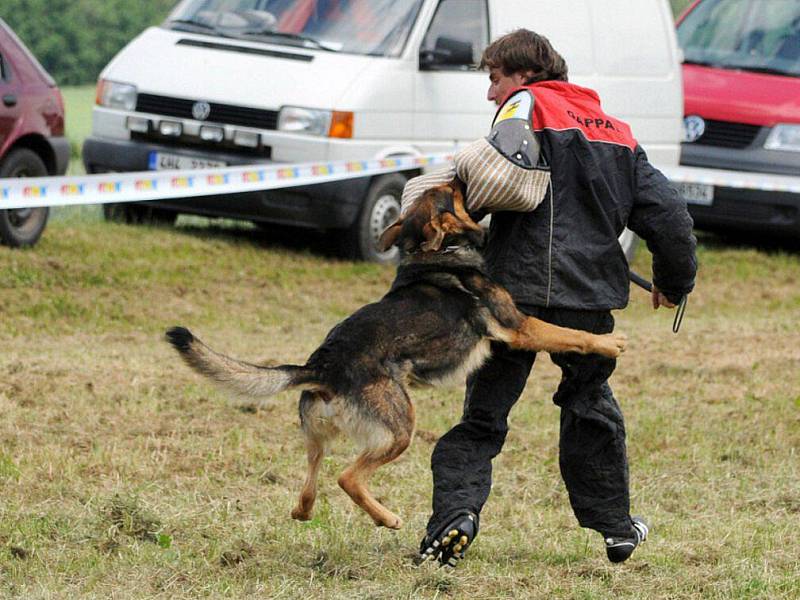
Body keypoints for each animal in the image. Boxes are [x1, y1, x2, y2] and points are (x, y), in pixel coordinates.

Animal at [164, 178, 624, 528]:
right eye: (450, 192)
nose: (460, 175)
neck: (434, 251)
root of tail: (322, 365)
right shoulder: (518, 327)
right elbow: (570, 334)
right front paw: (609, 343)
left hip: (318, 435)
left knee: (312, 478)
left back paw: (304, 511)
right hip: (401, 428)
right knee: (347, 478)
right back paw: (387, 519)